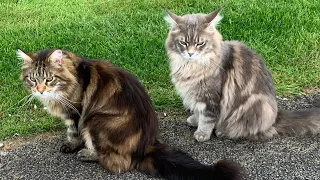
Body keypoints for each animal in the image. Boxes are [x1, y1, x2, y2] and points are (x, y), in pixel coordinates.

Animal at [17, 48, 242, 179]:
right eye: (33, 79)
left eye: (49, 79)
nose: (40, 90)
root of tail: (145, 146)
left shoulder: (76, 112)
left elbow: (73, 133)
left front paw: (72, 146)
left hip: (95, 120)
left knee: (117, 163)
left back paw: (88, 155)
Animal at [165, 7, 320, 141]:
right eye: (184, 43)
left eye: (200, 43)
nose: (190, 53)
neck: (190, 67)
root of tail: (275, 118)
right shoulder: (195, 95)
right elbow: (198, 112)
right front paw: (194, 120)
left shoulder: (210, 97)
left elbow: (207, 119)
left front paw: (202, 133)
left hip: (255, 106)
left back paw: (222, 131)